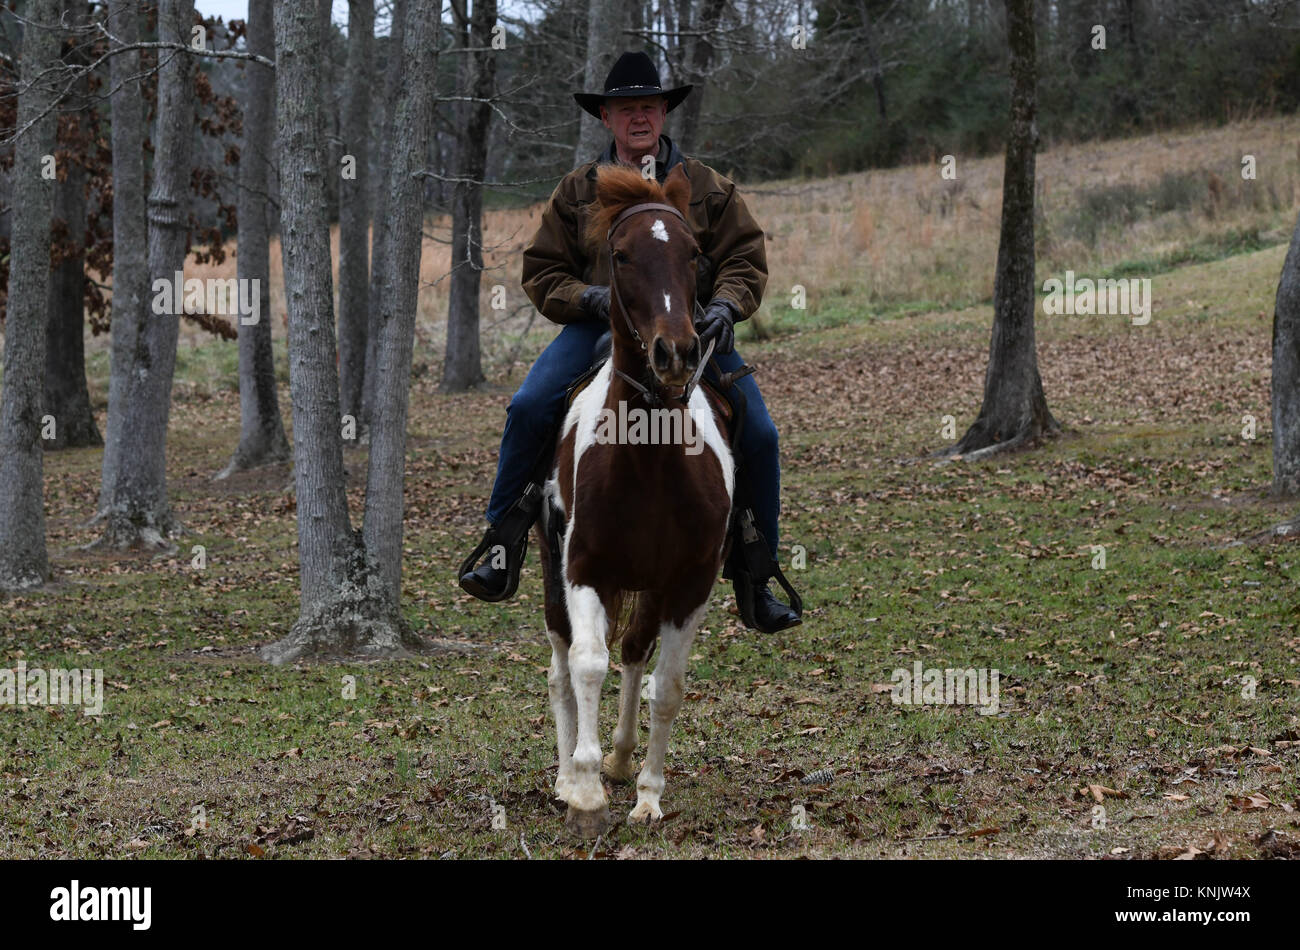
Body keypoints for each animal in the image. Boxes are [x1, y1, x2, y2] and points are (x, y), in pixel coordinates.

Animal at [535, 163, 734, 838]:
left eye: (693, 252)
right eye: (620, 256)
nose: (674, 352)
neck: (649, 464)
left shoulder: (690, 582)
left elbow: (665, 684)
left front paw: (646, 793)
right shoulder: (584, 570)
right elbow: (586, 664)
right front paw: (585, 790)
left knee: (633, 652)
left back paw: (622, 760)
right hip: (552, 569)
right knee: (563, 664)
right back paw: (568, 774)